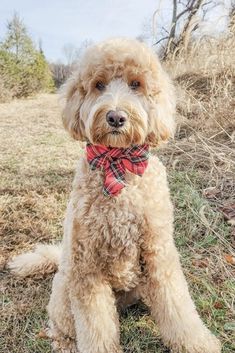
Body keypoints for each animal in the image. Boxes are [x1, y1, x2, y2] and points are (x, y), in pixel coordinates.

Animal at [9, 38, 221, 352]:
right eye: (98, 85)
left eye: (136, 84)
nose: (116, 117)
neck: (118, 167)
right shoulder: (88, 269)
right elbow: (96, 329)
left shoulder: (159, 254)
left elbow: (178, 308)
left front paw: (197, 343)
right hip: (65, 290)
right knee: (60, 327)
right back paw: (63, 342)